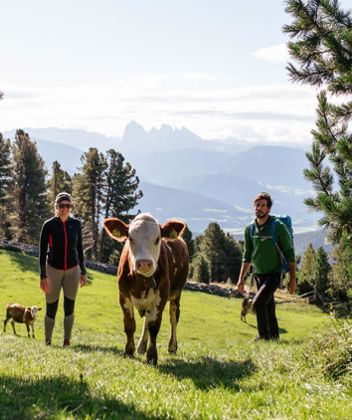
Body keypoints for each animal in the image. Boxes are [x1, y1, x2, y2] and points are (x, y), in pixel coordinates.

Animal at [103, 213, 188, 364]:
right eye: (130, 238)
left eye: (158, 238)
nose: (144, 263)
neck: (141, 282)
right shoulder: (123, 295)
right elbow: (130, 325)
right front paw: (129, 351)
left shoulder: (161, 296)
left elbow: (154, 326)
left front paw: (152, 356)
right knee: (146, 320)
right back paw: (141, 346)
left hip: (176, 293)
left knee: (173, 318)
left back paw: (172, 346)